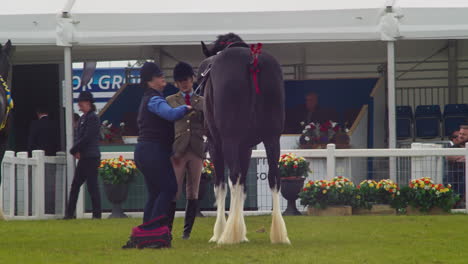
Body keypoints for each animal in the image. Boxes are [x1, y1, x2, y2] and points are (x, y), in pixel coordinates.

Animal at [197, 34, 288, 244]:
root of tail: (252, 61)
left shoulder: (215, 144)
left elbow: (221, 186)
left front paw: (220, 232)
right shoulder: (246, 147)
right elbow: (244, 187)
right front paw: (241, 233)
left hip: (229, 139)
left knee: (233, 177)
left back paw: (227, 235)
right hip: (272, 138)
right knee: (274, 177)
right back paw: (279, 234)